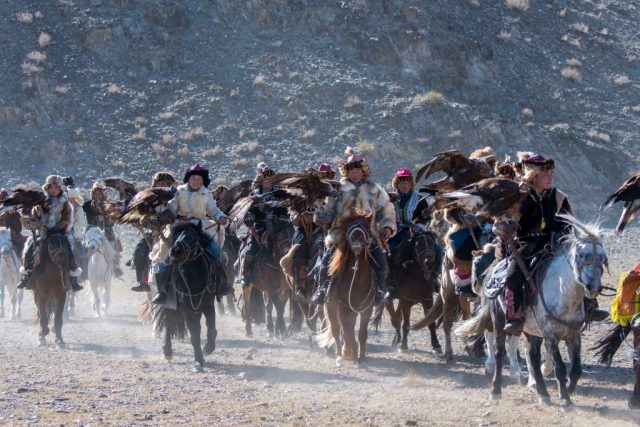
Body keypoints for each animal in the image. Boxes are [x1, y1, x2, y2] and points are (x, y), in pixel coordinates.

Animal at [156, 222, 219, 372]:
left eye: (192, 237)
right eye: (176, 236)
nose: (175, 251)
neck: (194, 278)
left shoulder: (208, 305)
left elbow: (211, 330)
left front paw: (208, 349)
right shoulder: (187, 309)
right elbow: (195, 335)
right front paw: (198, 361)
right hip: (168, 304)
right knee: (168, 324)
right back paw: (167, 351)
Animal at [316, 212, 378, 366]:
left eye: (367, 226)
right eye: (350, 225)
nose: (356, 242)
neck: (356, 280)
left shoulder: (367, 309)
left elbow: (361, 333)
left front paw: (361, 357)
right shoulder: (343, 307)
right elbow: (347, 331)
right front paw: (351, 353)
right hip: (331, 306)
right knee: (336, 330)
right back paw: (340, 354)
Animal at [456, 216, 604, 406]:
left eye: (603, 257)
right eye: (580, 255)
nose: (593, 287)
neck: (562, 293)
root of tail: (493, 271)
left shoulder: (573, 334)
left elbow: (576, 369)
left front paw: (569, 389)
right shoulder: (550, 334)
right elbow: (560, 368)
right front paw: (565, 400)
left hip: (530, 328)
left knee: (532, 355)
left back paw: (542, 391)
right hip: (499, 319)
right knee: (499, 351)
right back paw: (496, 389)